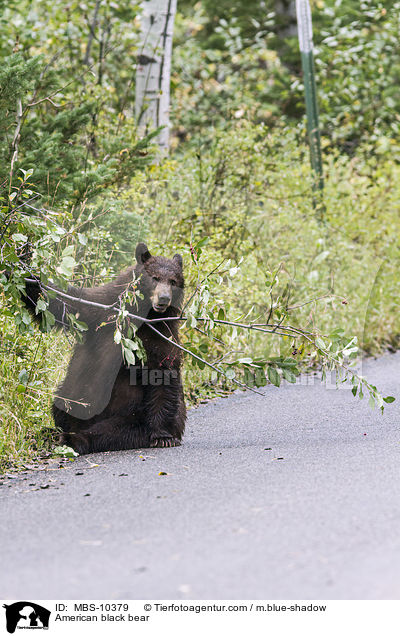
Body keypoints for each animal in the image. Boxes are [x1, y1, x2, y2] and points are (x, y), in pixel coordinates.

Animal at [23, 241, 188, 454]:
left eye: (173, 281)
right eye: (155, 278)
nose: (164, 298)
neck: (141, 315)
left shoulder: (162, 336)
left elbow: (162, 373)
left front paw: (162, 436)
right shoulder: (102, 308)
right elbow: (64, 303)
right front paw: (23, 266)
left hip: (130, 414)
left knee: (114, 431)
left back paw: (72, 438)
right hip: (76, 396)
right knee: (63, 403)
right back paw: (49, 432)